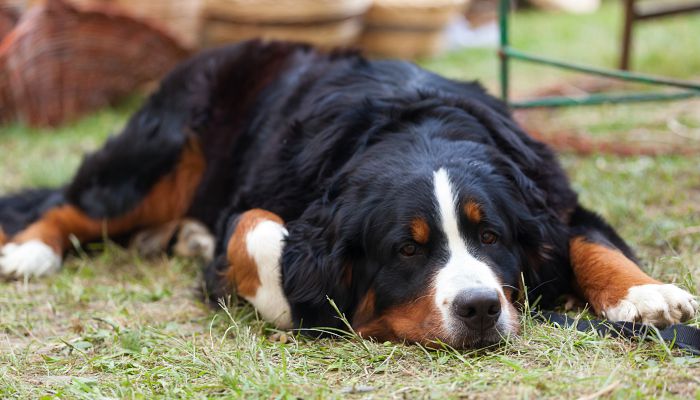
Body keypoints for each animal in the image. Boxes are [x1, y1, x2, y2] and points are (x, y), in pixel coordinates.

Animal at [0, 40, 696, 346]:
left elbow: (585, 239)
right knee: (74, 204)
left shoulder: (546, 192)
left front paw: (644, 293)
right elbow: (256, 228)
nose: (479, 307)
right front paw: (283, 299)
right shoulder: (265, 204)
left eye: (490, 235)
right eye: (407, 250)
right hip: (162, 150)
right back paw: (27, 252)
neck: (414, 126)